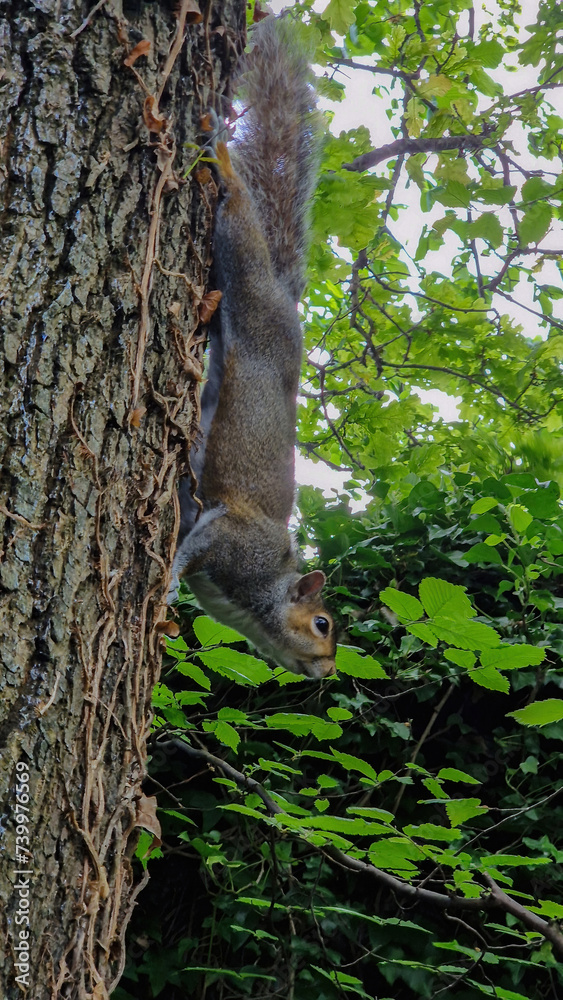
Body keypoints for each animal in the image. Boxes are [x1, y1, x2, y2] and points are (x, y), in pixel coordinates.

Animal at [169, 16, 336, 680]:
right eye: (322, 624)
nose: (329, 672)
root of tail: (287, 305)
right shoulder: (233, 539)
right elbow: (189, 552)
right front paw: (165, 585)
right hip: (245, 273)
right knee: (236, 206)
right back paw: (219, 156)